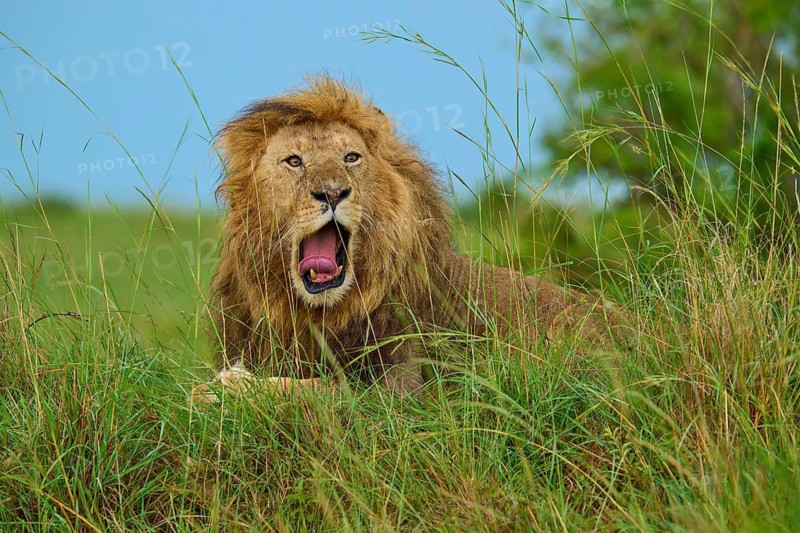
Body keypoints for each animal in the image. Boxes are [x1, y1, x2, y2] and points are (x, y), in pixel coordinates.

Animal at [192, 76, 626, 401]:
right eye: (294, 161)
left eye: (351, 158)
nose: (332, 193)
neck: (315, 312)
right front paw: (219, 384)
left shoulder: (401, 389)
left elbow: (322, 388)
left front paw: (231, 386)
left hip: (574, 321)